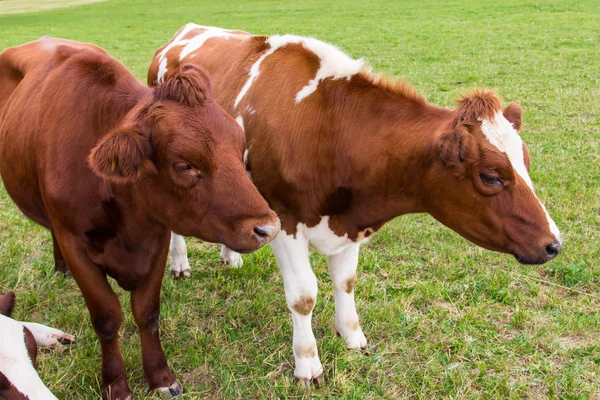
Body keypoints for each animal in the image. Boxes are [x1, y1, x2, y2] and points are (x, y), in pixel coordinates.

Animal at [0, 36, 282, 396]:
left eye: (239, 145)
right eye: (184, 165)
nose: (268, 227)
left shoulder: (157, 238)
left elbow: (147, 313)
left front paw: (161, 377)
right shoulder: (75, 244)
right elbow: (107, 318)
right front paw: (116, 384)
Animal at [150, 24, 564, 384]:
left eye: (526, 162)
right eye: (491, 176)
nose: (554, 244)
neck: (327, 126)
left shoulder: (349, 222)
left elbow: (345, 281)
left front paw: (352, 337)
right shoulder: (284, 219)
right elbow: (303, 296)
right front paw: (308, 365)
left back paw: (231, 256)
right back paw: (181, 264)